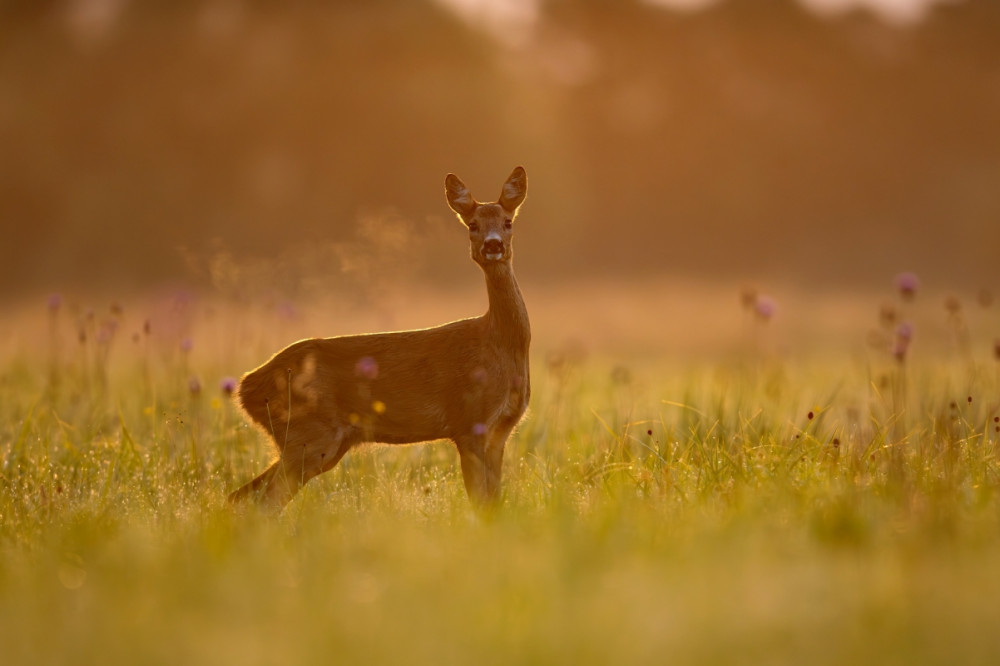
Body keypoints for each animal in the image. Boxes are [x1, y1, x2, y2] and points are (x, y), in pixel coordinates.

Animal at [231, 166, 532, 508]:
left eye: (508, 222)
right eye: (473, 225)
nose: (493, 245)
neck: (501, 344)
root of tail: (245, 388)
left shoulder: (500, 431)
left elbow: (493, 502)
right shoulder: (469, 423)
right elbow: (481, 504)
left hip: (315, 443)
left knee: (241, 495)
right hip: (309, 435)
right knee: (263, 500)